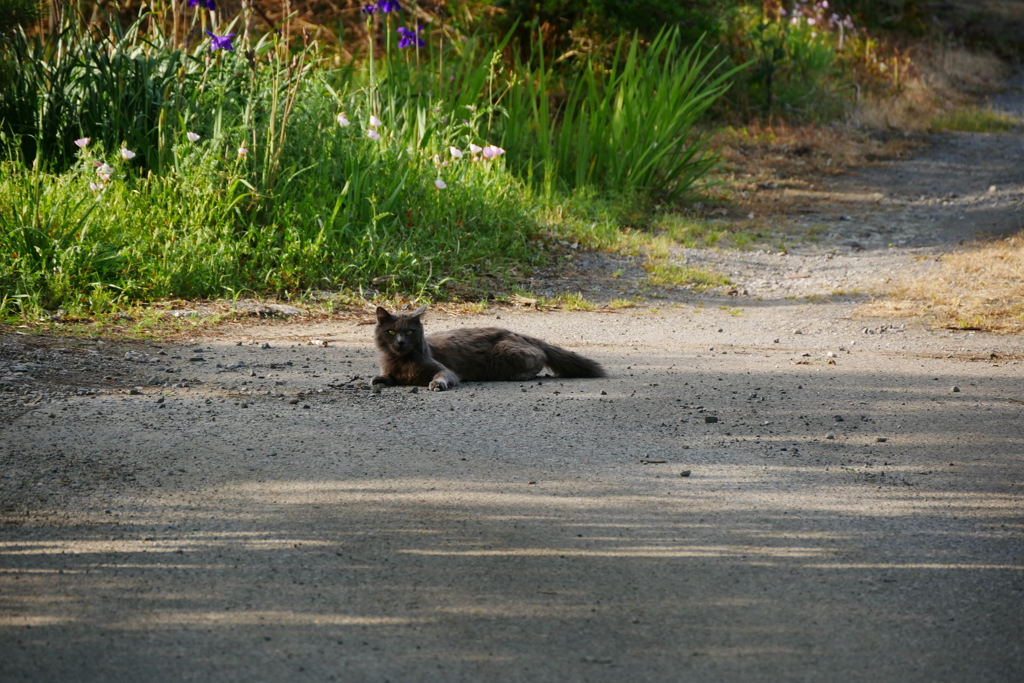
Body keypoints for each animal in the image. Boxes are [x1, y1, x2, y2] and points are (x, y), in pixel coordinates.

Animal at [370, 307, 602, 393]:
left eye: (409, 332)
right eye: (392, 332)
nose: (401, 342)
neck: (402, 361)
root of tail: (521, 334)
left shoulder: (445, 370)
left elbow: (442, 376)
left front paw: (436, 385)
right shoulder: (392, 370)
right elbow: (385, 376)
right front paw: (377, 380)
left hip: (505, 351)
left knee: (537, 360)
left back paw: (519, 375)